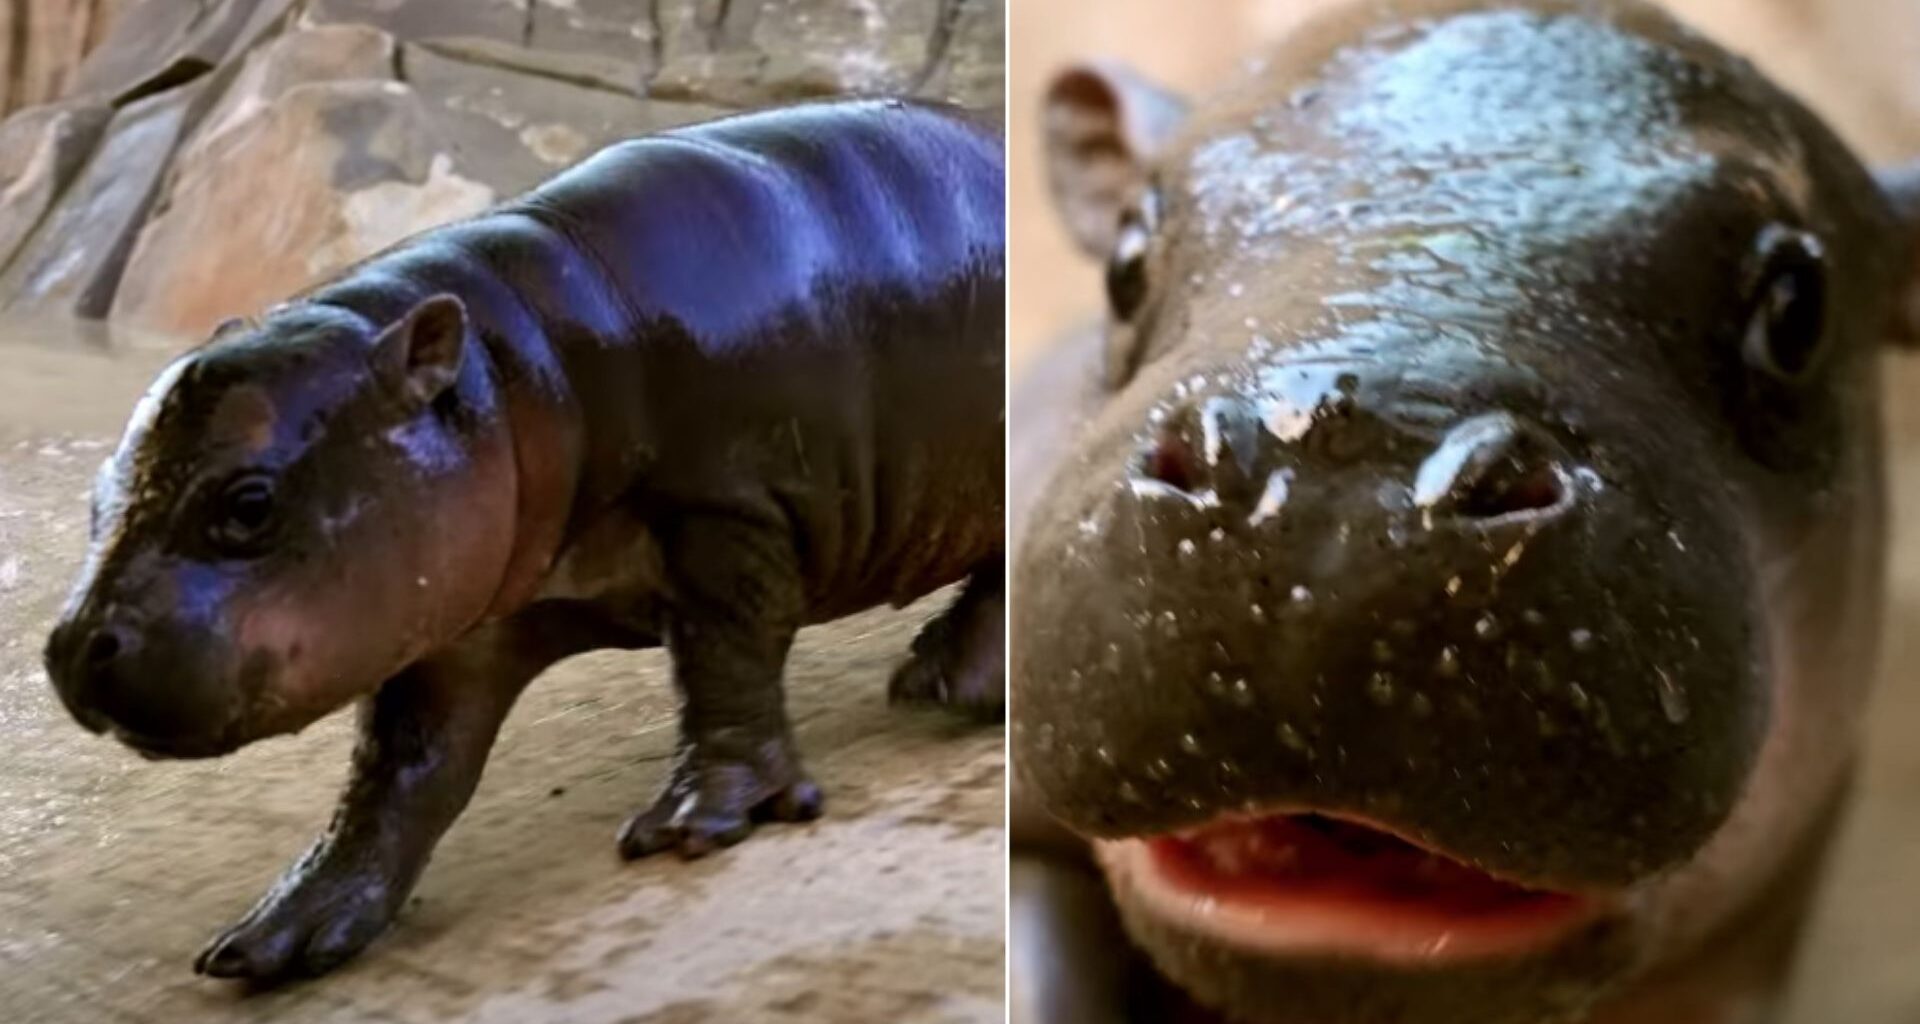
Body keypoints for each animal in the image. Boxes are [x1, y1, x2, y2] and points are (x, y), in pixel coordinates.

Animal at [41, 97, 1005, 982]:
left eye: (248, 503)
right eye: (95, 496)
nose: (73, 647)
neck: (514, 370)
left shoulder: (727, 511)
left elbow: (725, 664)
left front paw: (695, 825)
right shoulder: (458, 619)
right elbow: (403, 766)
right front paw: (278, 934)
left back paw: (945, 686)